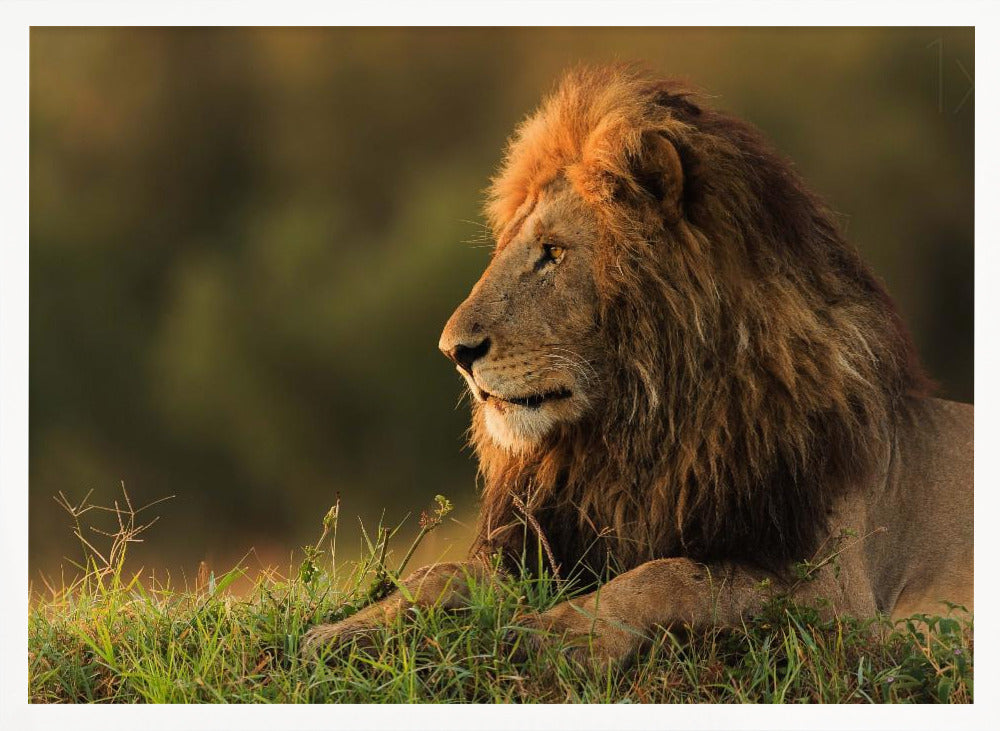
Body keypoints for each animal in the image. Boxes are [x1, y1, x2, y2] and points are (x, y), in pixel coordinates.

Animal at [302, 66, 968, 668]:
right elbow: (439, 574)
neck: (639, 434)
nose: (454, 352)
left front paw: (558, 634)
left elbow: (673, 575)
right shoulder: (557, 545)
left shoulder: (839, 598)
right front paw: (340, 633)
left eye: (553, 252)